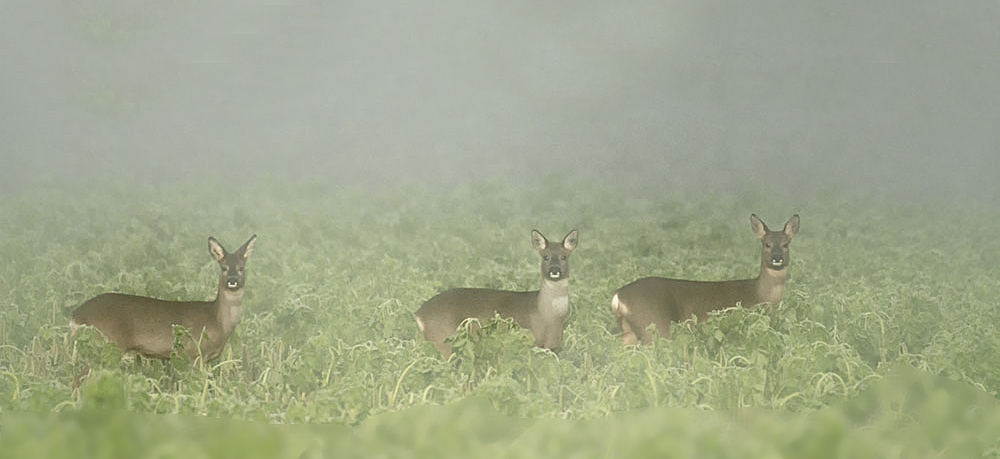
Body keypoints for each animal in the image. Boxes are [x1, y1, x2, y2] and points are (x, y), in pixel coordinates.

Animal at [69, 235, 258, 364]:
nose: (232, 280)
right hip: (106, 344)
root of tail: (75, 316)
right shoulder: (190, 353)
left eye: (241, 268)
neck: (216, 322)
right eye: (224, 268)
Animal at [416, 230, 580, 360]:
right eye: (545, 257)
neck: (548, 316)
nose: (554, 270)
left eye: (564, 257)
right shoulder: (530, 341)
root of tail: (419, 314)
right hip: (442, 337)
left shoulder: (553, 346)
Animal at [608, 216, 796, 344]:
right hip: (653, 325)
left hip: (628, 331)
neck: (759, 294)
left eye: (786, 244)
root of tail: (618, 297)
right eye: (767, 244)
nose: (777, 258)